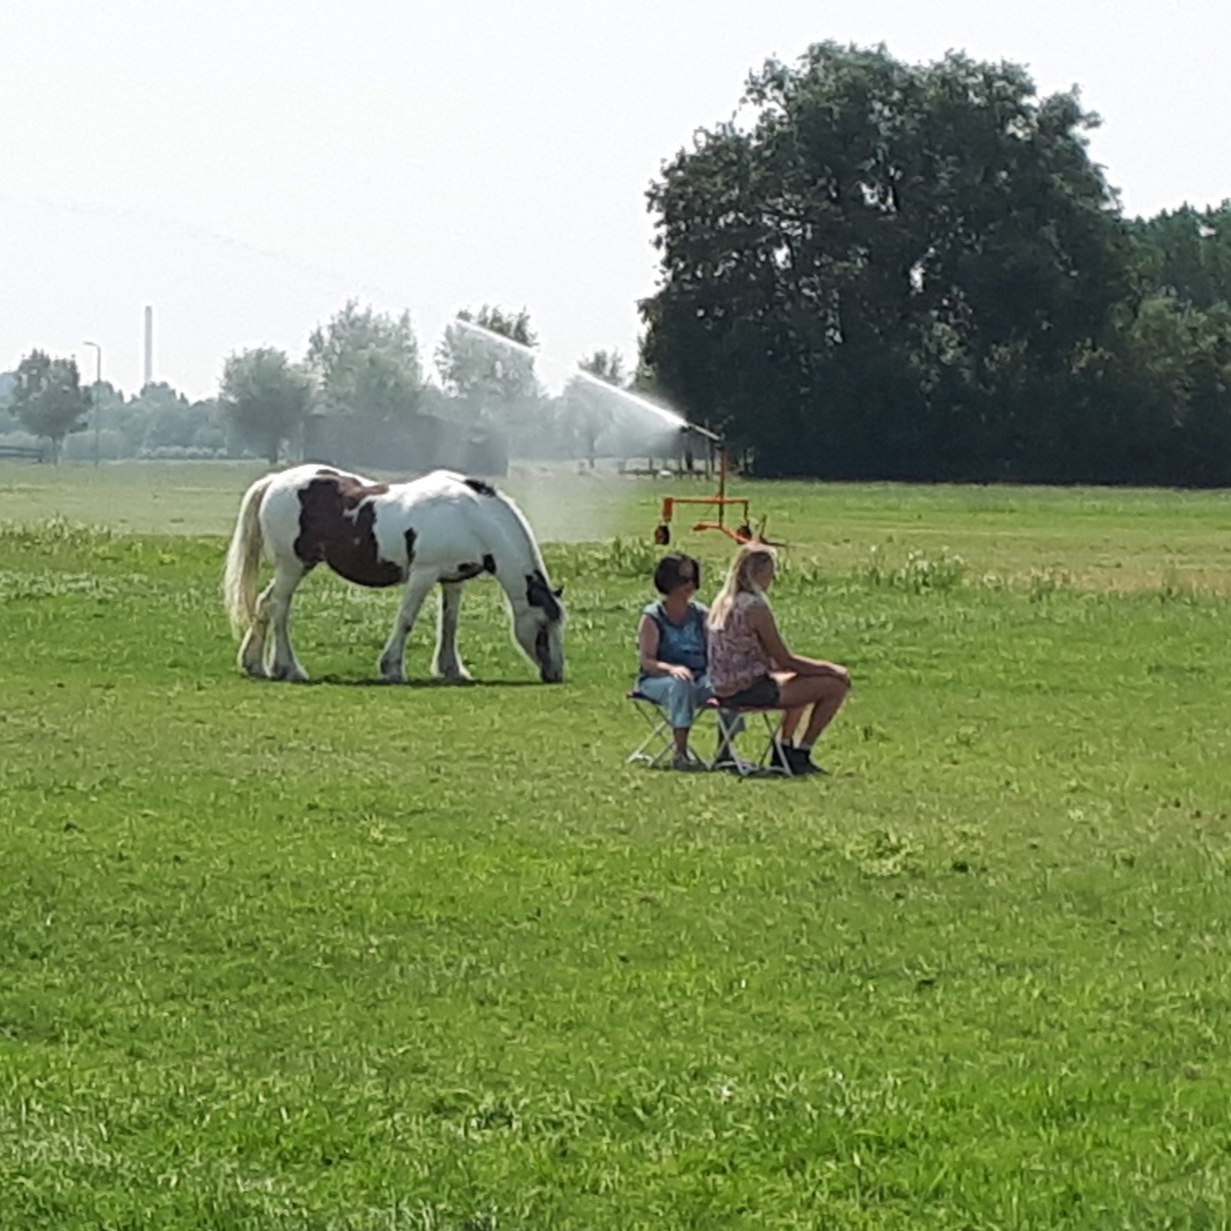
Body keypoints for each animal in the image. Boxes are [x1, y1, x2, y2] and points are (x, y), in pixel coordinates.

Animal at [222, 464, 566, 684]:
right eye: (543, 626)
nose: (557, 674)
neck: (471, 517)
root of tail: (275, 481)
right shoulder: (423, 574)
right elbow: (406, 619)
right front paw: (392, 669)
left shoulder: (453, 580)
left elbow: (450, 624)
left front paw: (452, 670)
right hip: (292, 566)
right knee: (278, 608)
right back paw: (289, 668)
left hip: (293, 568)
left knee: (265, 605)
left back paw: (256, 665)